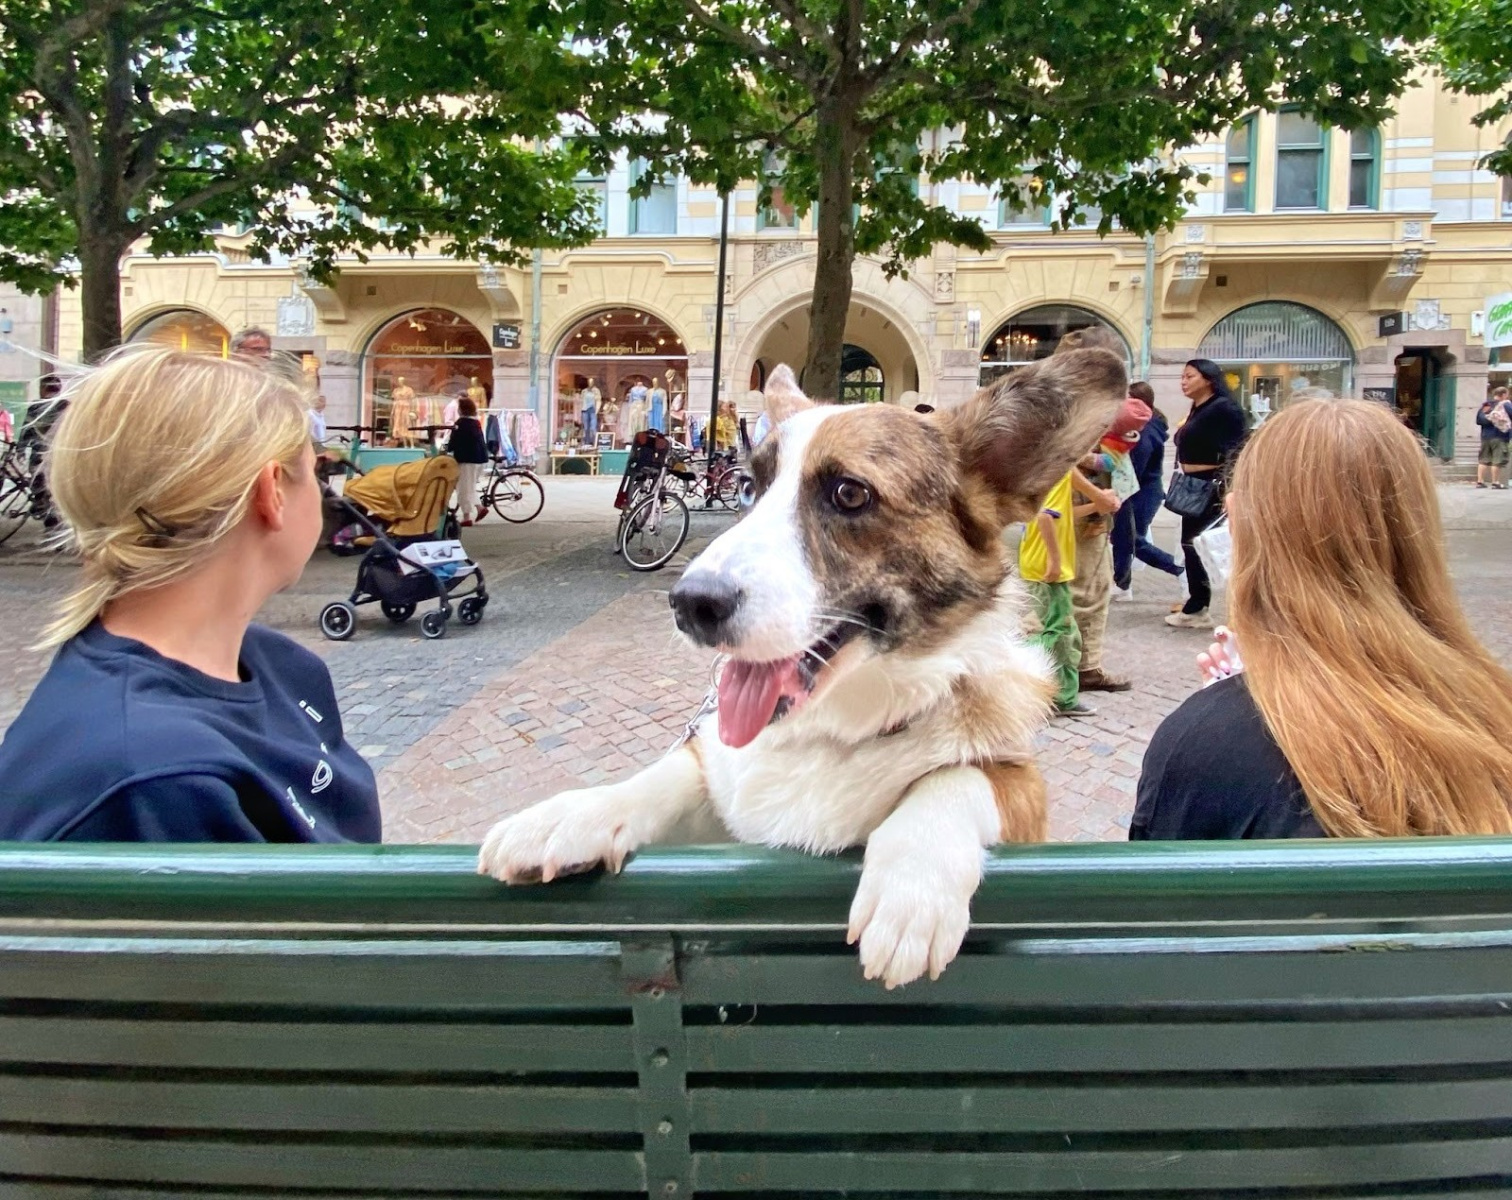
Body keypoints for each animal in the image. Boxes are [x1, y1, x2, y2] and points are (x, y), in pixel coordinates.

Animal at [477, 343, 1130, 979]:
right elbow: (660, 778)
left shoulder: (1025, 790)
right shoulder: (721, 795)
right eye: (750, 487)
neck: (835, 731)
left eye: (850, 494)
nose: (690, 605)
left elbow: (960, 777)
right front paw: (568, 817)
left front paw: (911, 888)